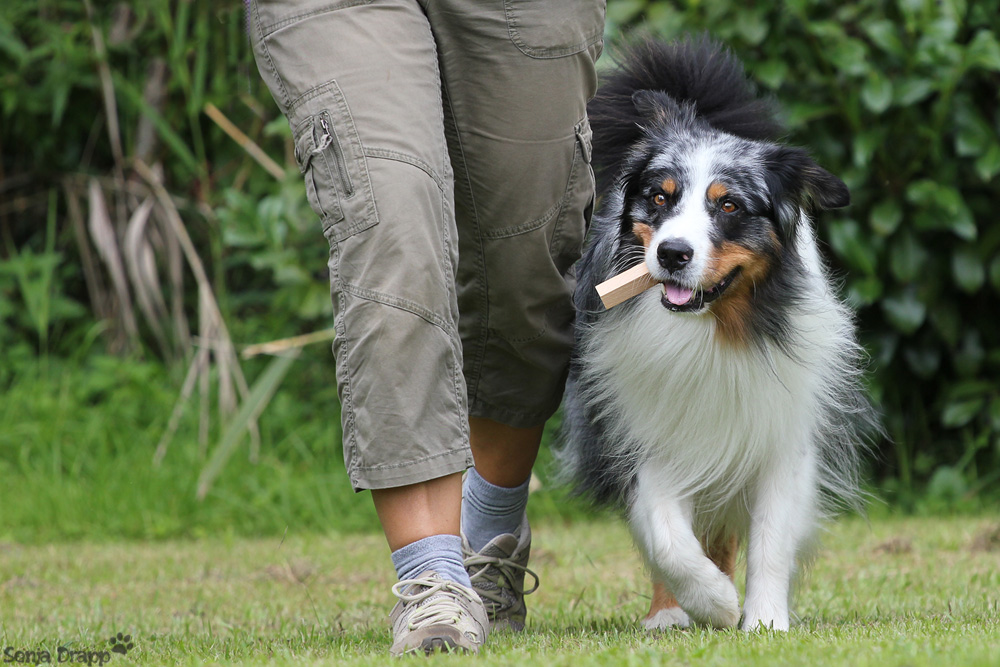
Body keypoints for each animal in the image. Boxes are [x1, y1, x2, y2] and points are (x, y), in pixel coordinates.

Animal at [560, 39, 880, 636]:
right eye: (660, 199)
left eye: (729, 205)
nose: (671, 254)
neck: (712, 331)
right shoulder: (651, 436)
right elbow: (665, 536)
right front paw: (715, 602)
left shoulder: (779, 436)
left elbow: (770, 540)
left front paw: (764, 620)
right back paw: (668, 614)